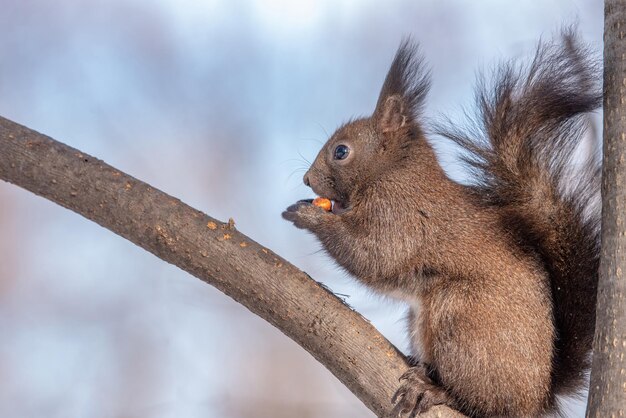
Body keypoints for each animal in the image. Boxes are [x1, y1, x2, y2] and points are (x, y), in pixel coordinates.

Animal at [282, 30, 600, 418]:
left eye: (341, 152)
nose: (307, 180)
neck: (394, 171)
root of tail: (536, 400)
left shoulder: (400, 215)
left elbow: (373, 254)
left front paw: (308, 216)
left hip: (462, 318)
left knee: (478, 401)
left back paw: (434, 390)